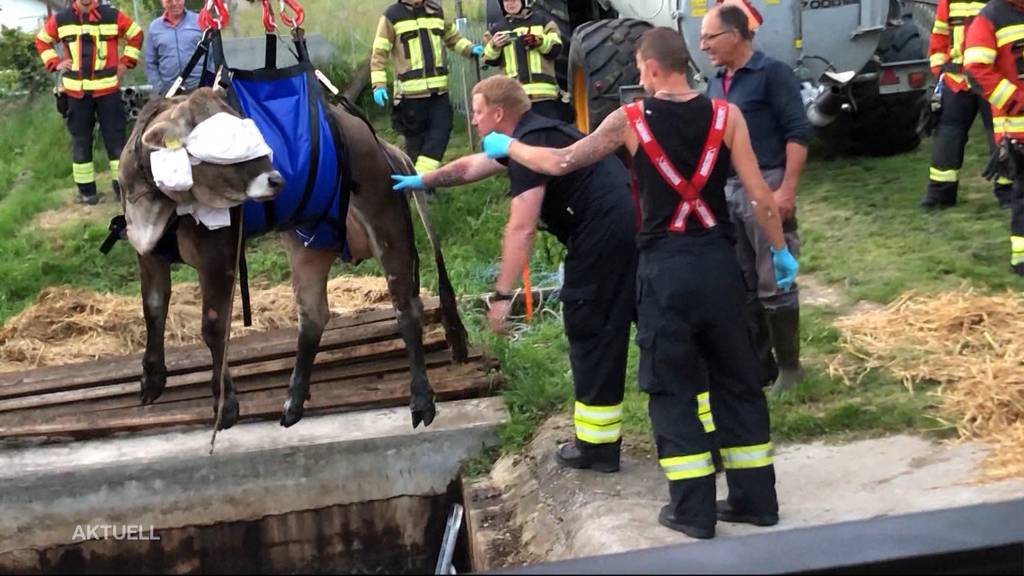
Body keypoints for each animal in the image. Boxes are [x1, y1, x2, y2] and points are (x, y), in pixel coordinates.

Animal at [119, 86, 468, 426]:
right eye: (221, 141)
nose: (276, 179)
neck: (160, 201)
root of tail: (379, 143)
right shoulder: (147, 252)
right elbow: (153, 308)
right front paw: (151, 378)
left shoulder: (218, 256)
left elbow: (213, 326)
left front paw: (225, 405)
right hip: (308, 247)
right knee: (313, 315)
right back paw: (294, 401)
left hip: (385, 219)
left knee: (405, 306)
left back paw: (421, 400)